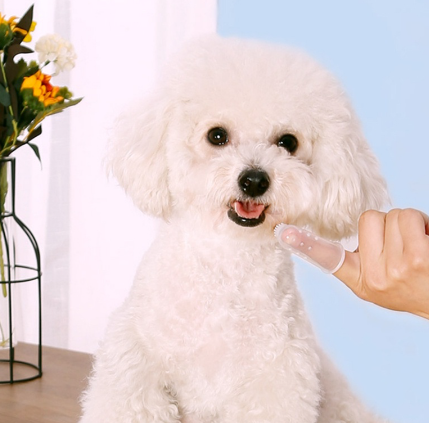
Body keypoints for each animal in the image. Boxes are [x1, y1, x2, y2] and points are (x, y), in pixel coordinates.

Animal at [78, 37, 390, 423]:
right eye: (217, 135)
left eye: (288, 142)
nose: (254, 180)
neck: (227, 260)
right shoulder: (135, 355)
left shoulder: (279, 378)